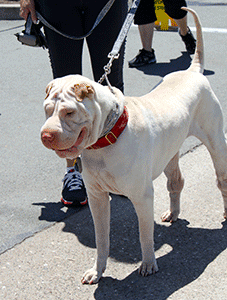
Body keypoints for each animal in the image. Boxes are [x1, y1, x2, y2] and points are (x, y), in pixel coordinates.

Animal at [40, 7, 227, 284]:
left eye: (69, 112)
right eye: (47, 110)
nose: (46, 135)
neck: (105, 139)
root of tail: (192, 71)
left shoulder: (142, 196)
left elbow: (144, 234)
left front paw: (148, 263)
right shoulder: (97, 197)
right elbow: (101, 238)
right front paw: (97, 270)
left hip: (216, 142)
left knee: (221, 179)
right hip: (169, 152)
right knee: (176, 181)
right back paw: (173, 212)